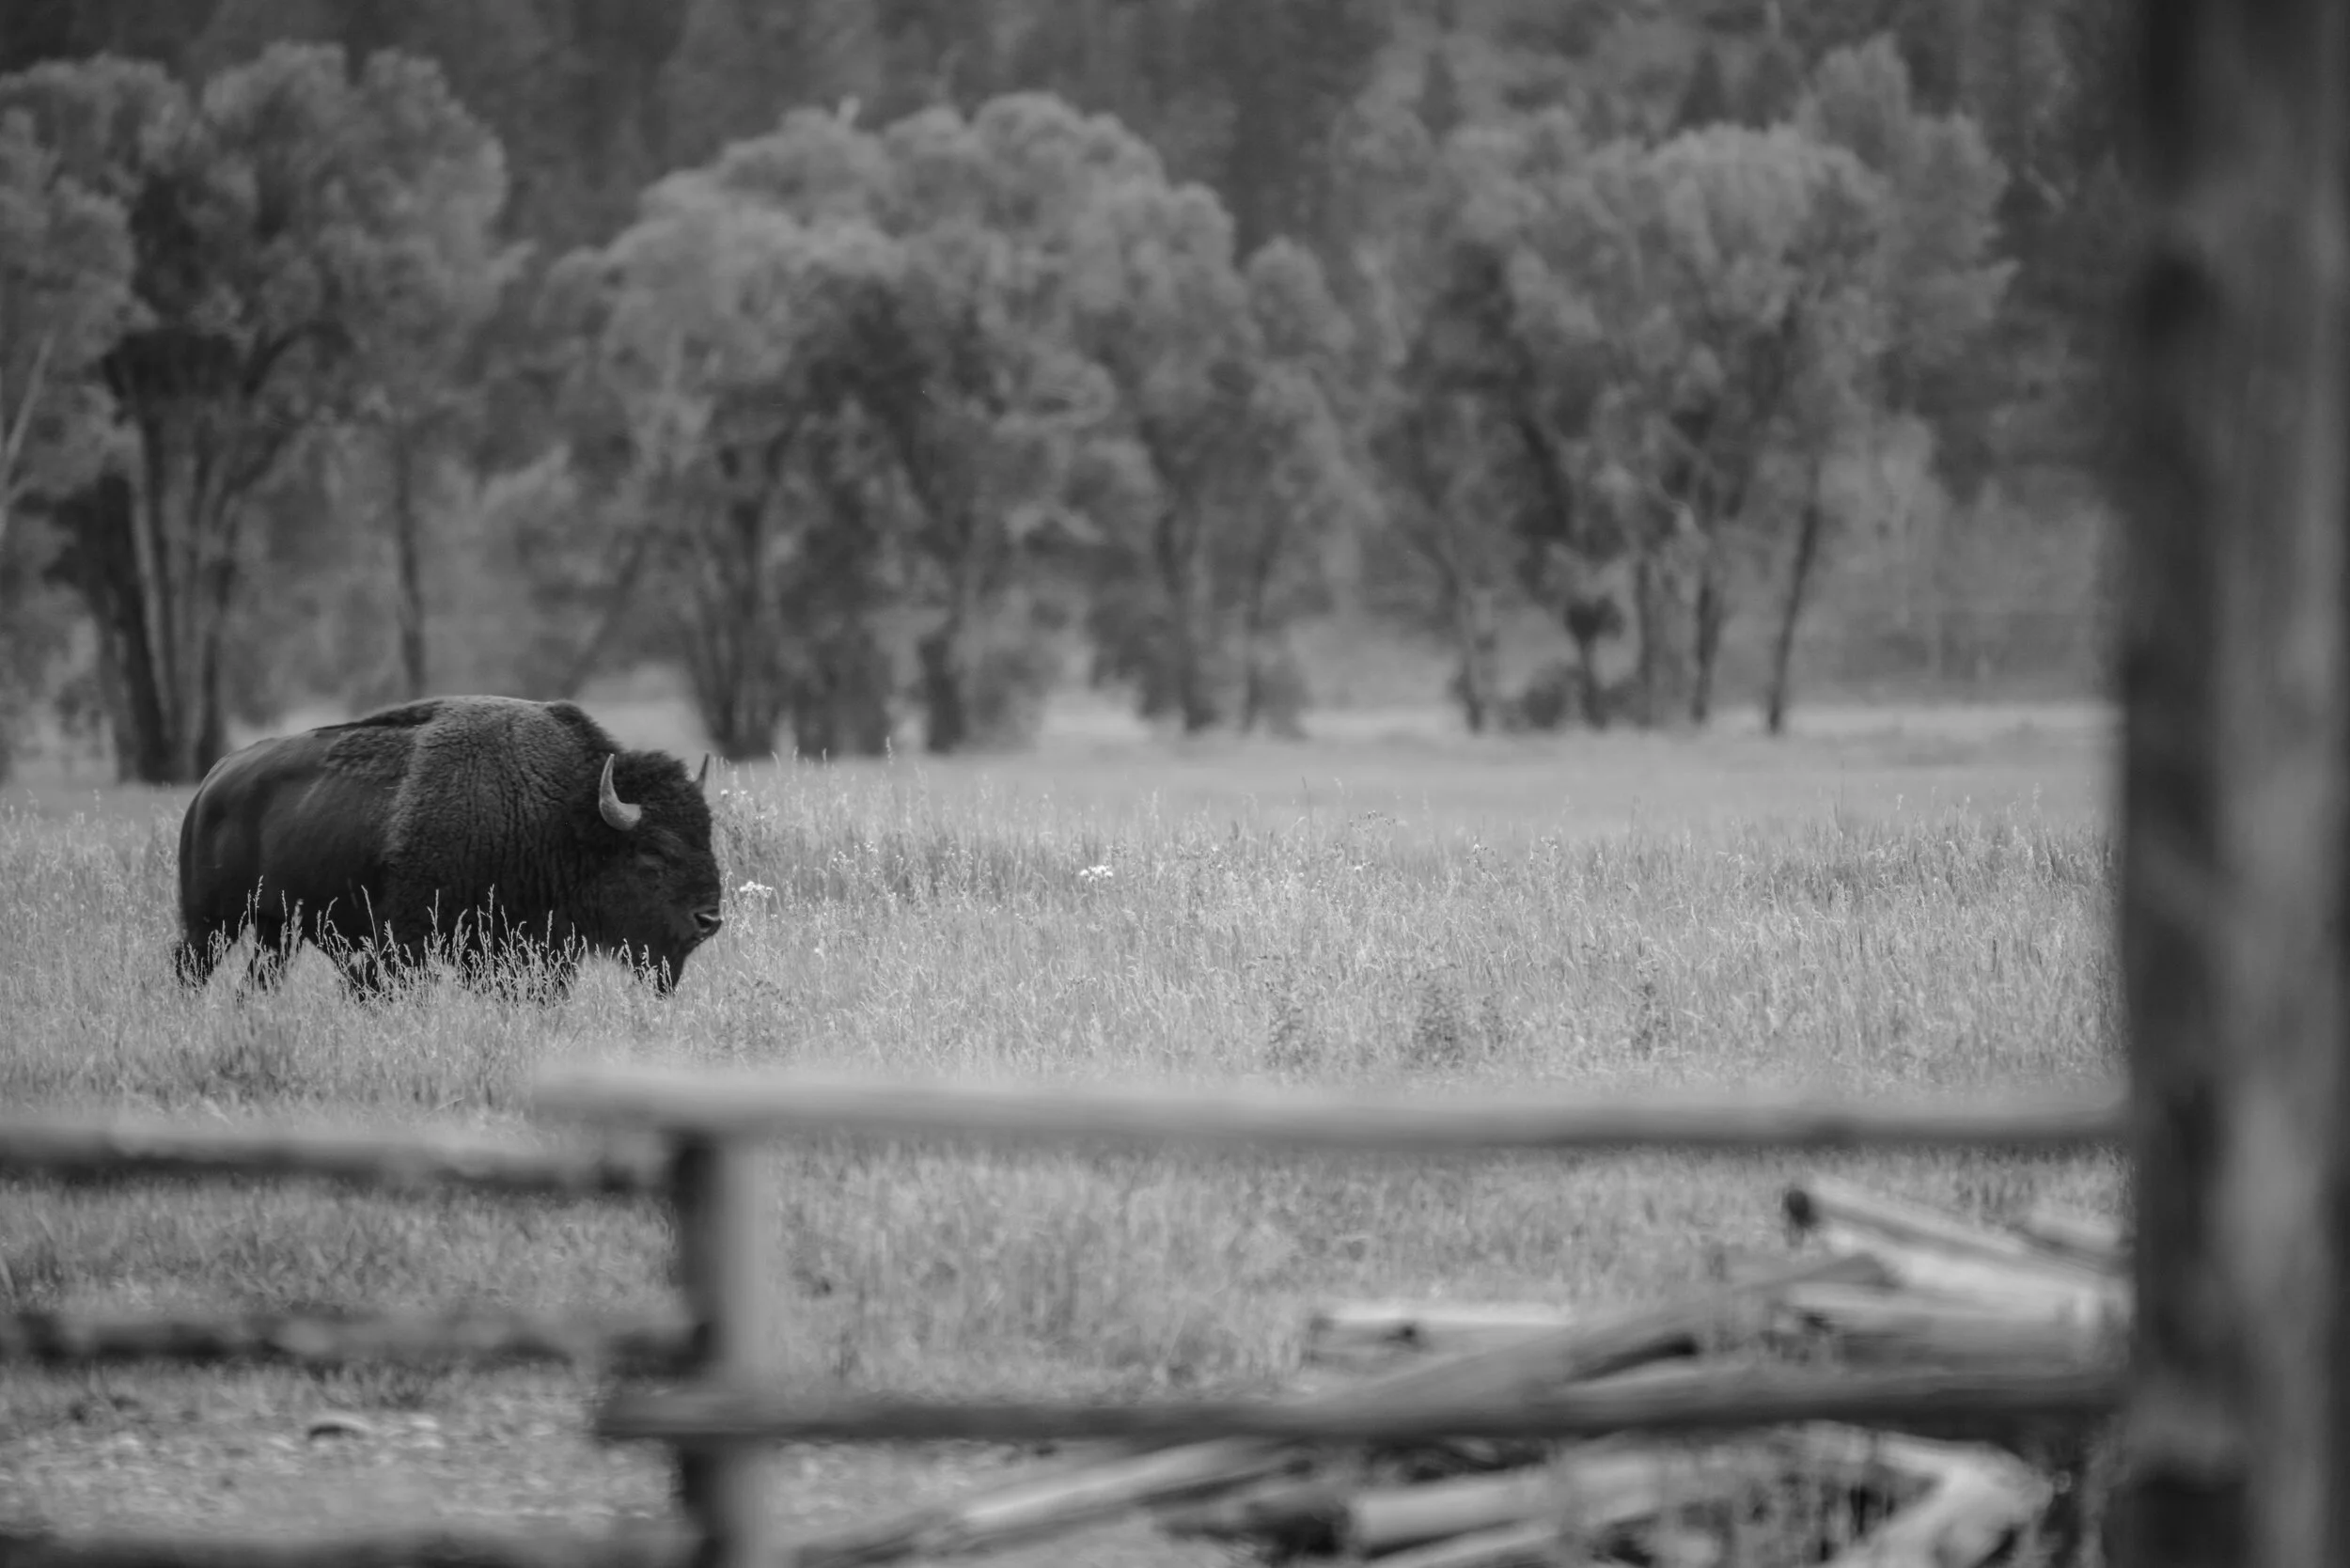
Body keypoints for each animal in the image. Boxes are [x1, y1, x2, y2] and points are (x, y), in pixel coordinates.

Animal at [175, 695, 725, 997]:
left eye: (706, 835)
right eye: (652, 853)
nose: (709, 920)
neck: (561, 813)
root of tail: (211, 783)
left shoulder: (534, 952)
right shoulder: (408, 946)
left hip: (276, 930)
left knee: (255, 983)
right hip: (212, 924)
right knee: (190, 970)